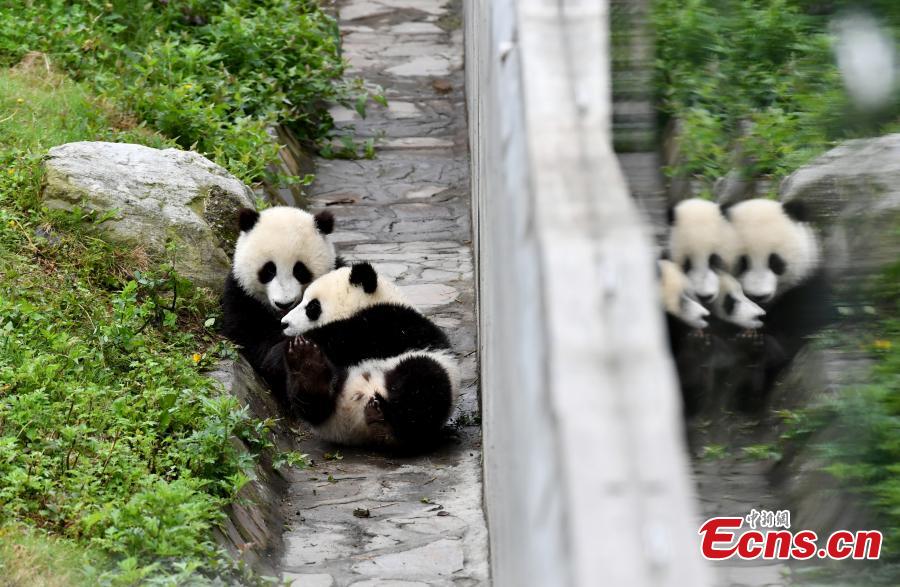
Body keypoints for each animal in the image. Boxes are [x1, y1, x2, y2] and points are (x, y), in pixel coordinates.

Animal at [278, 264, 458, 448]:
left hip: (431, 372)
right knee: (312, 403)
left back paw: (383, 418)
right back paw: (305, 363)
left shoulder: (394, 323)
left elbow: (351, 337)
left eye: (313, 306)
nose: (284, 323)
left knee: (422, 383)